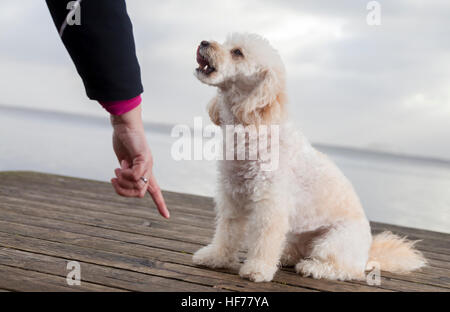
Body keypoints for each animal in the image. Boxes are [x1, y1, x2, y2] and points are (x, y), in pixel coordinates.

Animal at [192, 33, 428, 282]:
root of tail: (366, 256)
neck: (254, 128)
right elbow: (227, 232)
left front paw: (257, 269)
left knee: (345, 270)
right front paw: (215, 258)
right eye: (226, 42)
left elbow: (264, 240)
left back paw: (313, 267)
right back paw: (287, 256)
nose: (204, 42)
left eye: (237, 52)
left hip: (333, 242)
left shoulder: (270, 206)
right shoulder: (232, 196)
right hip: (297, 234)